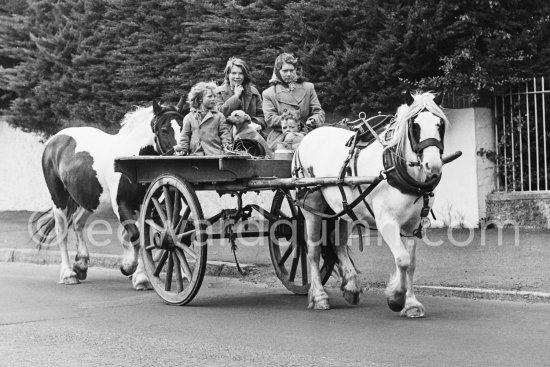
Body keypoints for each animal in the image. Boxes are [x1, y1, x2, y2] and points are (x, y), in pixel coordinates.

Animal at [35, 101, 184, 290]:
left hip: (90, 199)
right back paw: (68, 274)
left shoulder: (146, 206)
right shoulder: (121, 205)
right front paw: (130, 269)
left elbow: (142, 238)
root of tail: (55, 140)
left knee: (78, 222)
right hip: (59, 199)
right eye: (164, 130)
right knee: (62, 231)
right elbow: (135, 236)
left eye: (183, 125)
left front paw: (140, 277)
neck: (131, 161)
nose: (183, 155)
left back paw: (81, 265)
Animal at [296, 91, 450, 316]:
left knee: (337, 242)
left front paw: (411, 303)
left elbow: (411, 263)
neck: (394, 168)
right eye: (415, 126)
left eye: (440, 124)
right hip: (312, 206)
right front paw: (396, 298)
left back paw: (351, 286)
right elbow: (402, 259)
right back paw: (319, 297)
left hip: (344, 210)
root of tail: (309, 135)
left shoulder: (412, 226)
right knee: (313, 251)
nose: (434, 165)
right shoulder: (387, 222)